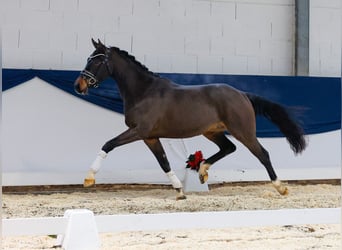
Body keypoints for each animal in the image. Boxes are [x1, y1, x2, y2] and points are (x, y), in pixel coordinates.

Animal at [73, 38, 306, 199]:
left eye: (97, 61)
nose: (78, 85)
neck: (144, 92)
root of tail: (242, 94)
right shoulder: (150, 137)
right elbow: (164, 162)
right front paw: (179, 191)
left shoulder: (139, 131)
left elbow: (108, 144)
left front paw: (88, 178)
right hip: (212, 131)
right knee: (228, 148)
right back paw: (202, 171)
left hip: (243, 131)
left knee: (262, 154)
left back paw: (281, 187)